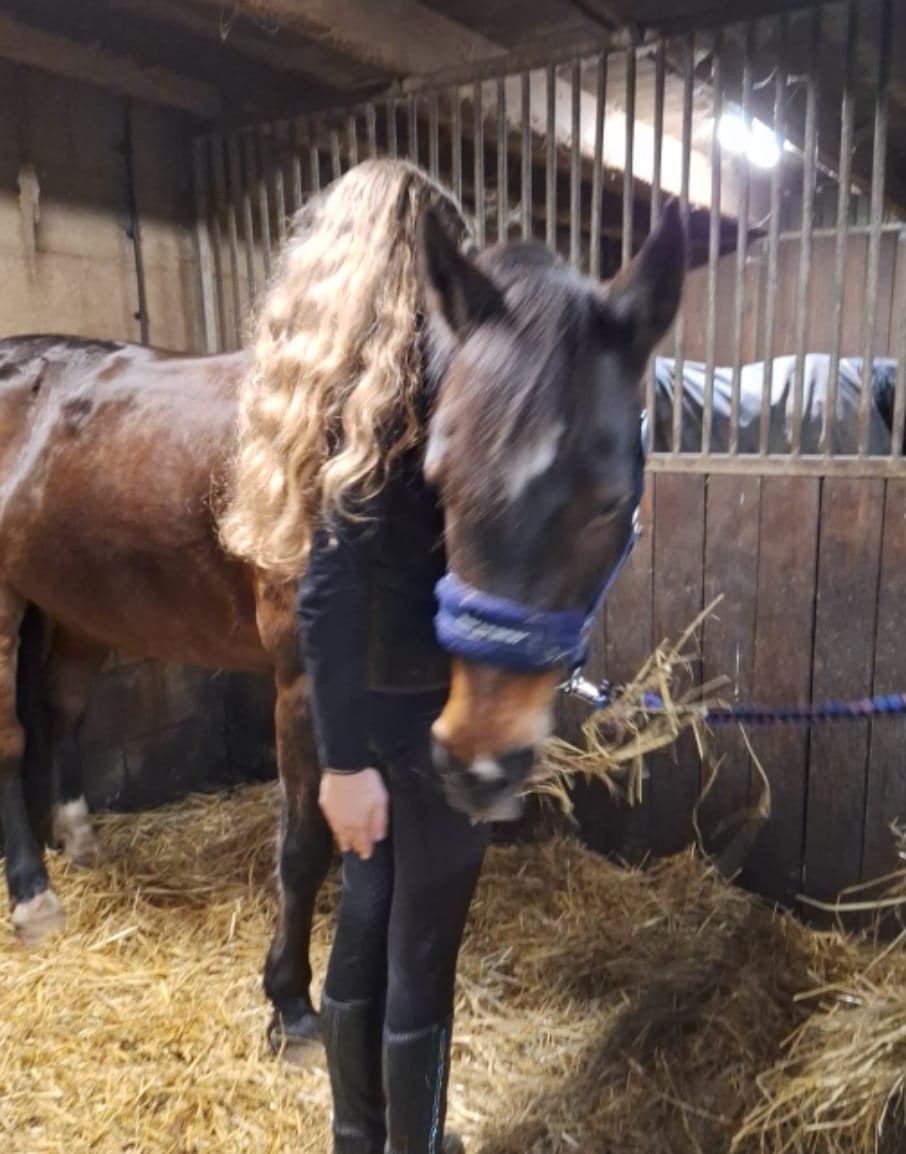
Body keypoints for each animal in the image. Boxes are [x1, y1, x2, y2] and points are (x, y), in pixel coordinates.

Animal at [0, 159, 684, 1059]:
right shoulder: (304, 691)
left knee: (60, 709)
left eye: (609, 500)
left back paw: (73, 838)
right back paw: (31, 892)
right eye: (442, 477)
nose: (485, 763)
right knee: (12, 734)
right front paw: (290, 1003)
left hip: (78, 606)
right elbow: (305, 844)